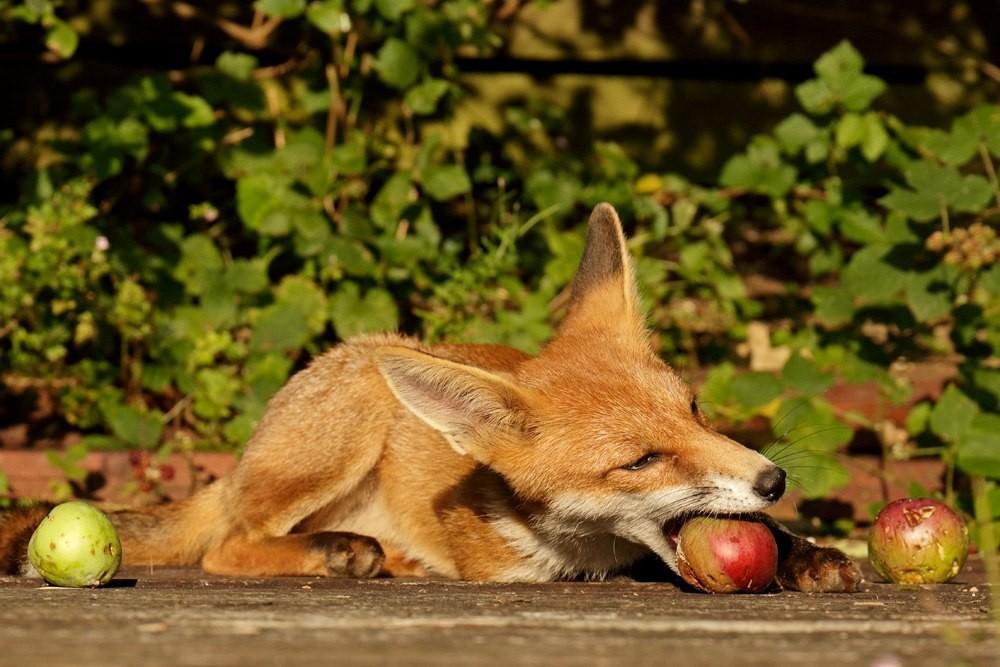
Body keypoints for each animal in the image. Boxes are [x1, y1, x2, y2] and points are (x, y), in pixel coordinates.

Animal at [0, 204, 860, 588]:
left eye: (694, 411)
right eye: (640, 461)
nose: (774, 478)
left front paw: (807, 551)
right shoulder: (511, 569)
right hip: (343, 431)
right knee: (226, 546)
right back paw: (341, 552)